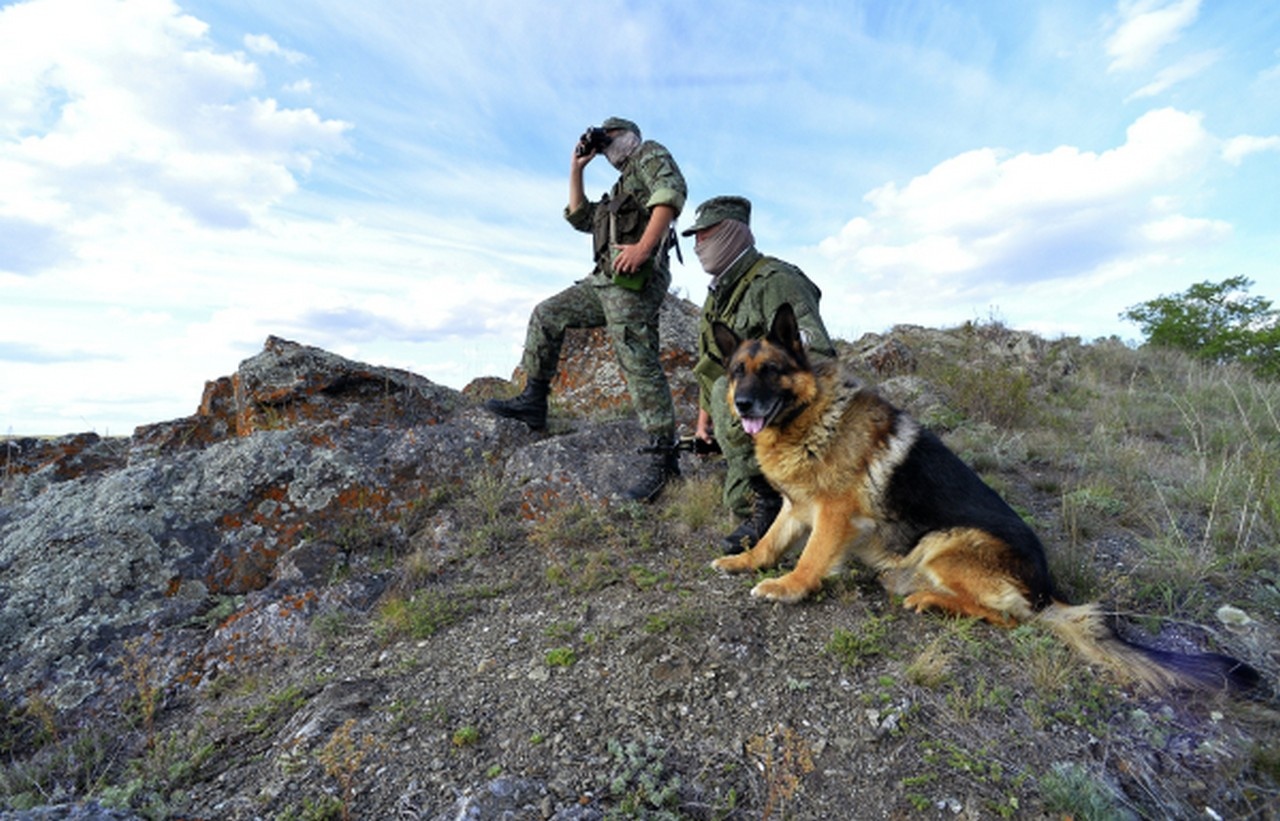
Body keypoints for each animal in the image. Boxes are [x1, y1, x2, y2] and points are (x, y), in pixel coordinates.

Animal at [711, 302, 1259, 691]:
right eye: (738, 371)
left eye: (771, 369)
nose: (743, 404)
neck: (809, 416)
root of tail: (1047, 588)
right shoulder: (795, 507)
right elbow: (770, 541)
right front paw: (743, 563)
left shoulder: (834, 515)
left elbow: (810, 557)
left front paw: (788, 587)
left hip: (947, 544)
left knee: (1009, 618)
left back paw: (931, 599)